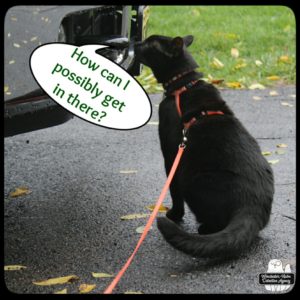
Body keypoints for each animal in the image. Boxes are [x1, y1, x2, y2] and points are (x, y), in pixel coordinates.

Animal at [135, 35, 274, 258]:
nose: (136, 43)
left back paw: (203, 228)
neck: (184, 84)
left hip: (191, 179)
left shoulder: (171, 155)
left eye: (149, 43)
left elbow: (173, 190)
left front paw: (174, 214)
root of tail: (252, 206)